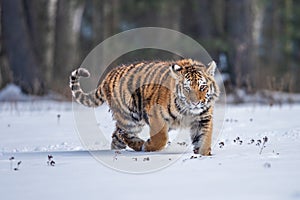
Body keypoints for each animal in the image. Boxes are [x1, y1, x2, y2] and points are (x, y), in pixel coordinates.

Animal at [70, 58, 220, 155]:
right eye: (187, 88)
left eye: (202, 87)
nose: (195, 103)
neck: (188, 111)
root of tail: (109, 75)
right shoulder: (156, 114)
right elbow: (161, 138)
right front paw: (148, 146)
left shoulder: (203, 119)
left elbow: (204, 140)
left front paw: (203, 156)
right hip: (130, 119)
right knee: (124, 133)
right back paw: (140, 146)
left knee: (116, 136)